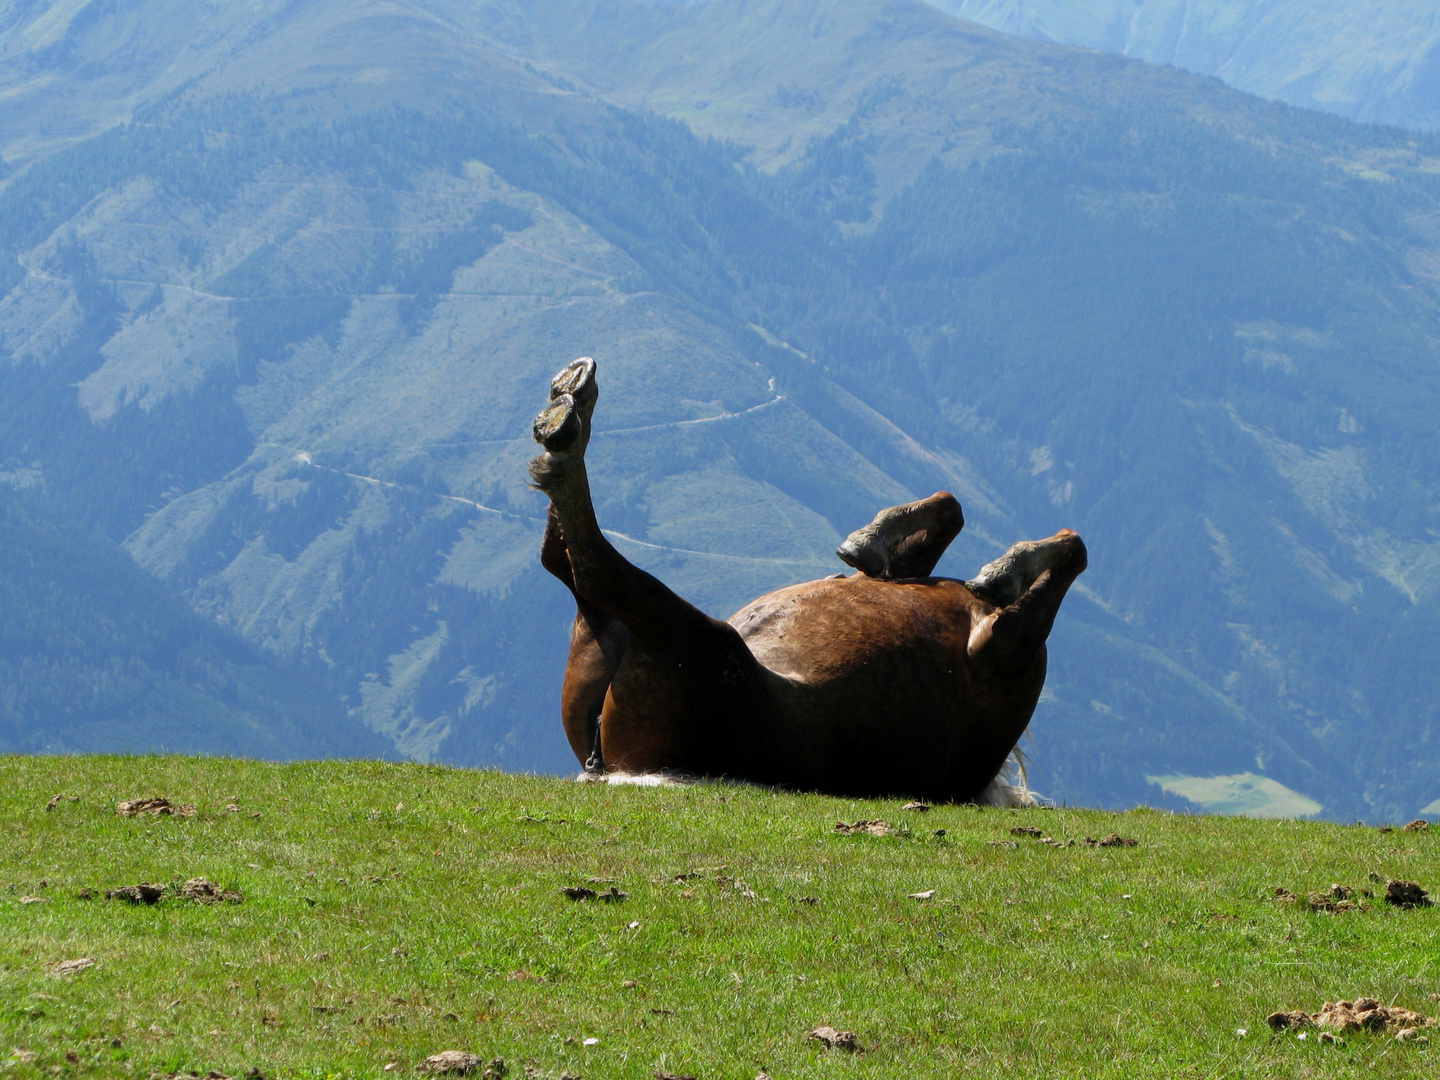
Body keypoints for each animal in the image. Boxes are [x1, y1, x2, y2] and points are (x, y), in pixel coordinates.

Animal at [535, 357, 1082, 806]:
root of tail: (608, 766)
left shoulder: (1004, 648)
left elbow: (1073, 551)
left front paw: (1005, 571)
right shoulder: (934, 596)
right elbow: (948, 513)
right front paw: (871, 540)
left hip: (696, 641)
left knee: (590, 569)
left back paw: (563, 428)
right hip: (609, 651)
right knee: (568, 566)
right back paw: (568, 402)